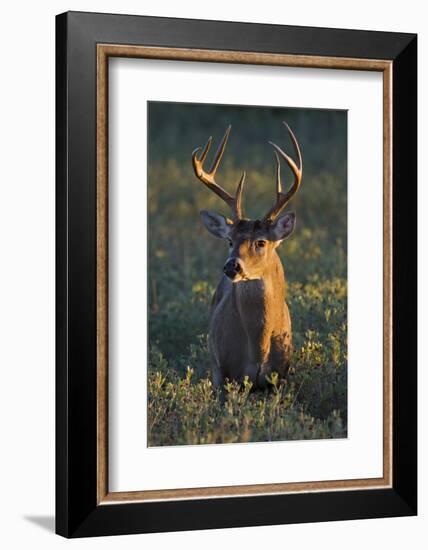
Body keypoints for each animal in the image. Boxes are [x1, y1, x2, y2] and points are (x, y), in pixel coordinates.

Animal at [192, 124, 302, 392]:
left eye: (261, 242)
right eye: (230, 241)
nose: (231, 266)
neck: (258, 348)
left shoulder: (281, 376)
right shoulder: (224, 373)